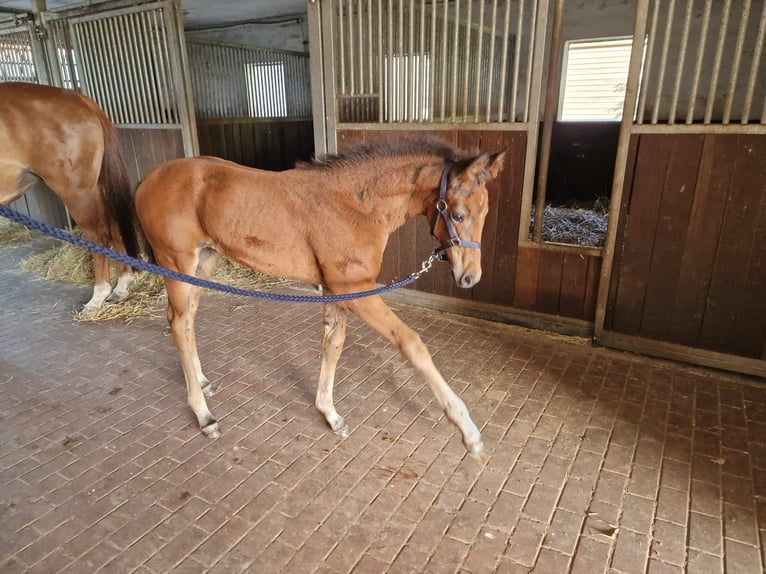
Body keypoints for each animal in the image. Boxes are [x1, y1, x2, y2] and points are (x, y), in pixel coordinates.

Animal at [0, 82, 138, 316]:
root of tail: (77, 97)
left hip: (77, 191)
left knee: (99, 235)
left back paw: (97, 298)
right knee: (113, 225)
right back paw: (121, 287)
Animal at [136, 137, 510, 456]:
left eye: (486, 212)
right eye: (458, 214)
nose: (470, 277)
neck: (355, 205)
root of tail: (147, 180)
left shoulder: (336, 290)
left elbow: (333, 344)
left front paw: (329, 413)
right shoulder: (355, 289)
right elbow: (411, 342)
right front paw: (468, 431)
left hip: (202, 263)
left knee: (187, 321)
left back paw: (202, 383)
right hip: (176, 262)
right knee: (178, 324)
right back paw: (204, 416)